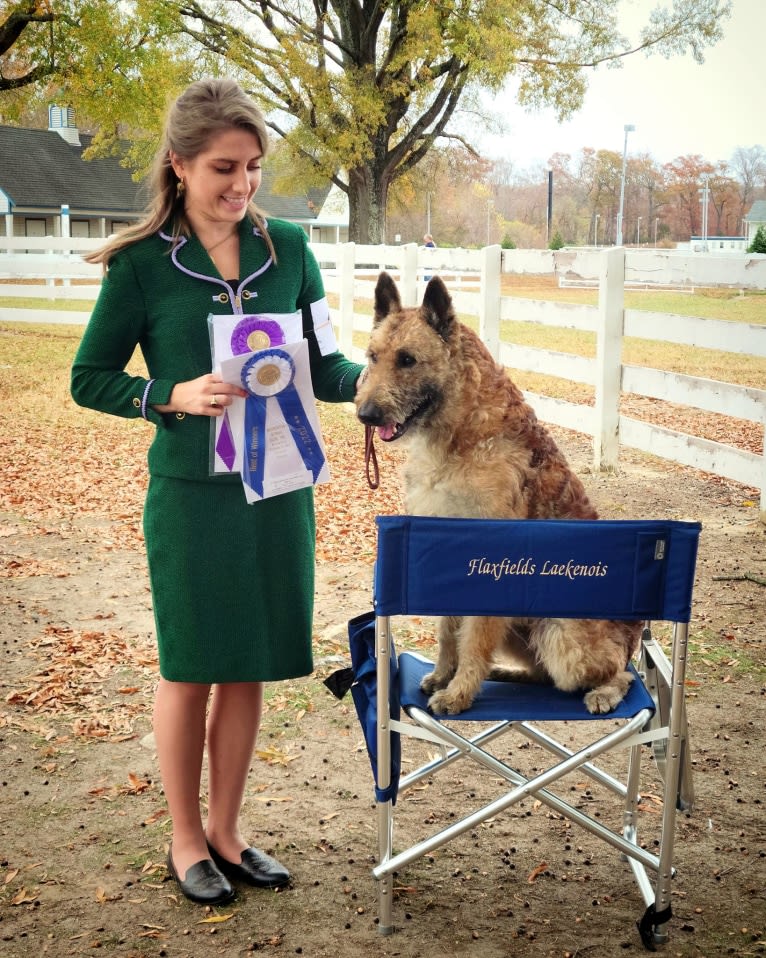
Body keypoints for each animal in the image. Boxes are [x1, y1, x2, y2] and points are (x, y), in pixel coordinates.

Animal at [356, 270, 640, 712]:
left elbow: (473, 638)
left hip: (562, 637)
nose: (365, 414)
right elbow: (449, 631)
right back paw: (508, 672)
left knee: (617, 672)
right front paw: (444, 675)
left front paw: (458, 693)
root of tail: (634, 631)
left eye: (407, 360)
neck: (462, 430)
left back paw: (604, 692)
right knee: (545, 675)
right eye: (373, 356)